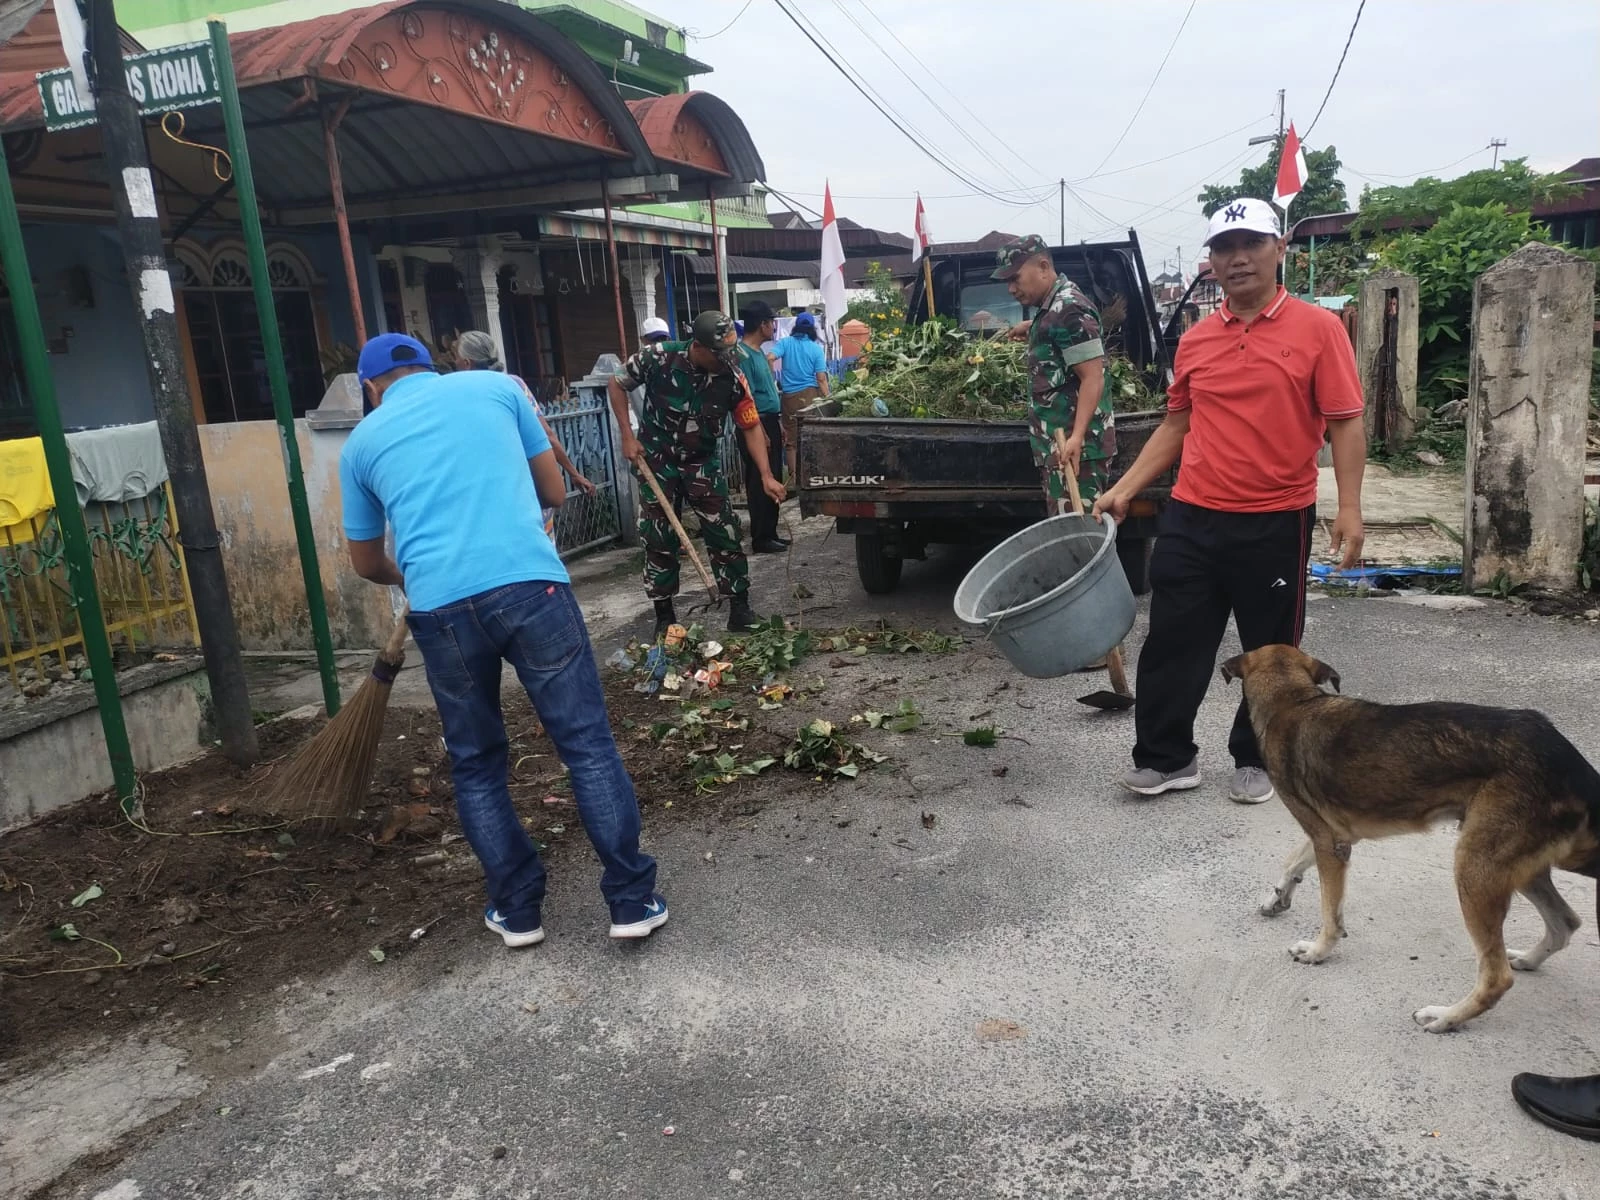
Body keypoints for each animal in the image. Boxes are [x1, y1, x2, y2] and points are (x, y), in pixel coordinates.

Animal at [1216, 649, 1593, 1036]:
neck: (1294, 701)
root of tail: (1567, 758)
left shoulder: (1328, 842)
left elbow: (1330, 914)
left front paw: (1318, 951)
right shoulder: (1334, 836)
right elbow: (1293, 861)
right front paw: (1277, 897)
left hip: (1476, 871)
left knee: (1497, 977)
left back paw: (1445, 1017)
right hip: (1515, 868)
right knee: (1565, 923)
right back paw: (1529, 959)